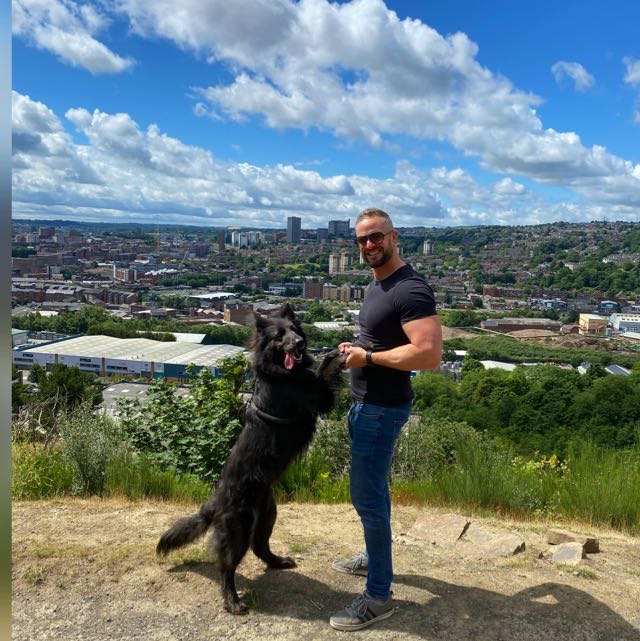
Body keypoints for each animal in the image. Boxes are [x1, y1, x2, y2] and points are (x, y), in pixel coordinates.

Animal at [156, 302, 347, 614]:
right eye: (280, 335)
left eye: (295, 329)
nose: (300, 343)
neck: (278, 372)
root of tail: (214, 503)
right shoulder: (317, 397)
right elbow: (323, 374)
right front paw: (338, 355)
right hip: (239, 530)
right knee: (226, 566)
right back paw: (232, 600)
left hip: (268, 515)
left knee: (260, 548)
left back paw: (277, 562)